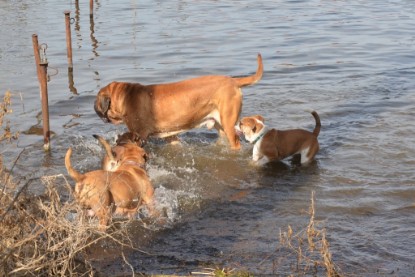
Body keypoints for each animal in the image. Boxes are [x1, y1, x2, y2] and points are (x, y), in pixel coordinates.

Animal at [94, 53, 264, 149]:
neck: (125, 95)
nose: (95, 108)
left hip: (228, 123)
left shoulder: (140, 136)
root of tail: (233, 81)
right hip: (220, 124)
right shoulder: (170, 136)